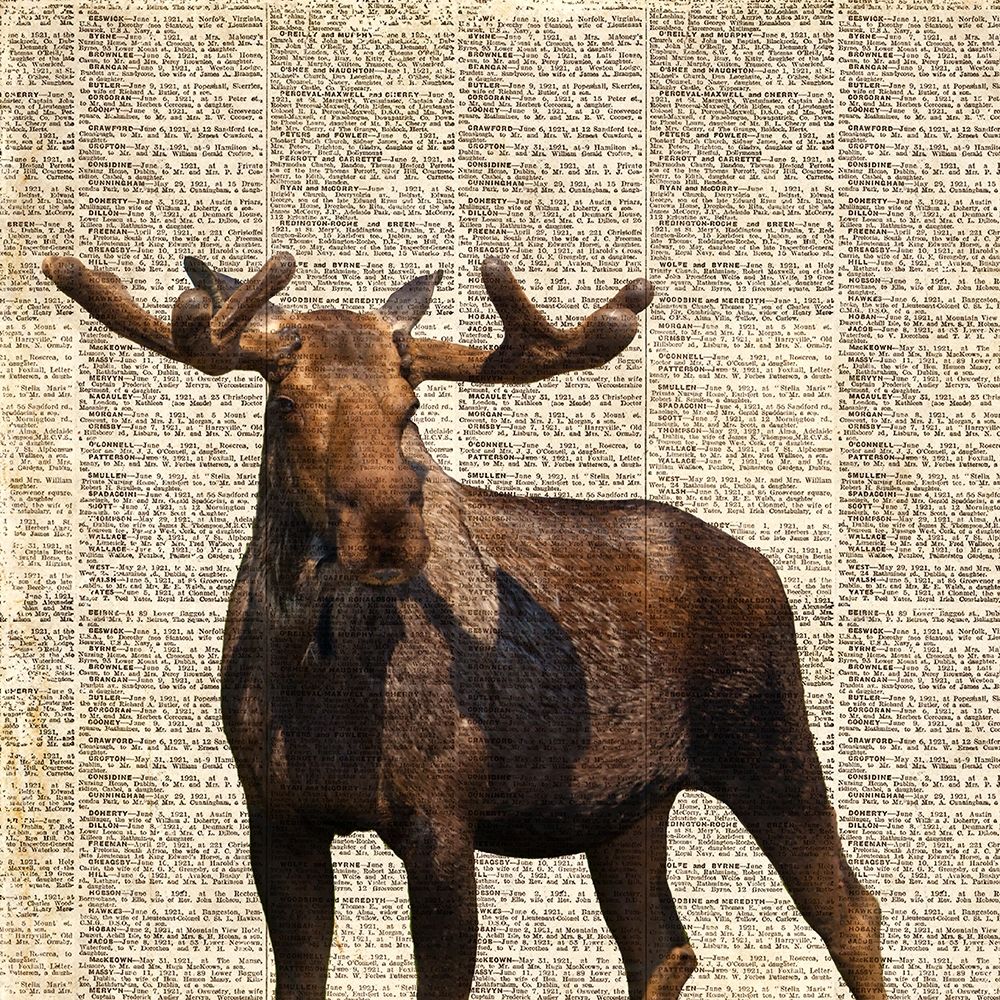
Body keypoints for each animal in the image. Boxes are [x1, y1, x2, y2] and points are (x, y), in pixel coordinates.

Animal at [43, 251, 887, 1000]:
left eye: (409, 407)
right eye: (285, 403)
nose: (388, 529)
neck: (318, 682)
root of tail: (765, 567)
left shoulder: (442, 820)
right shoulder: (278, 817)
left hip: (769, 745)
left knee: (853, 911)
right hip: (628, 806)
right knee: (664, 947)